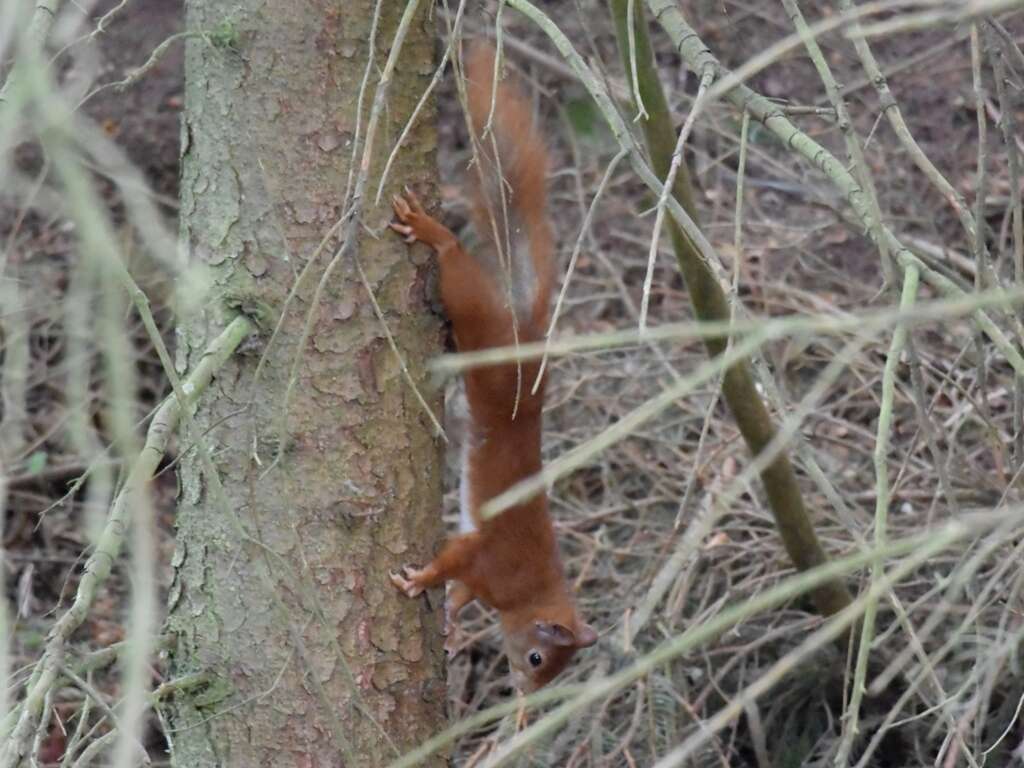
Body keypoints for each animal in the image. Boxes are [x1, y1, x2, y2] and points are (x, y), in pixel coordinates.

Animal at [387, 40, 598, 692]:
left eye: (556, 671)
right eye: (538, 659)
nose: (527, 696)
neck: (530, 591)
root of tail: (525, 344)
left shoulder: (483, 579)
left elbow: (459, 595)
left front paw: (452, 629)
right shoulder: (486, 556)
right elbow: (448, 566)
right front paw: (418, 581)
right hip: (470, 304)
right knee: (455, 258)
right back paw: (433, 233)